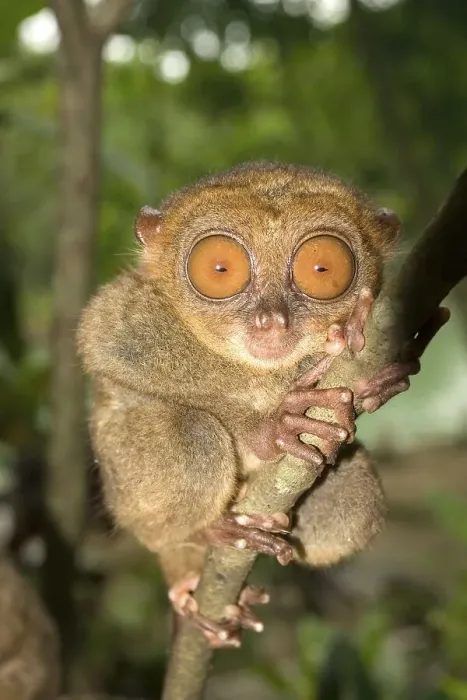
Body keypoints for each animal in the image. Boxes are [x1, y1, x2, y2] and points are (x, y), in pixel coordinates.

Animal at [77, 162, 446, 647]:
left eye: (323, 268)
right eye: (219, 269)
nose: (271, 320)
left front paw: (384, 374)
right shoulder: (127, 310)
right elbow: (106, 342)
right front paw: (273, 427)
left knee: (356, 498)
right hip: (124, 484)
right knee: (194, 437)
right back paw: (204, 538)